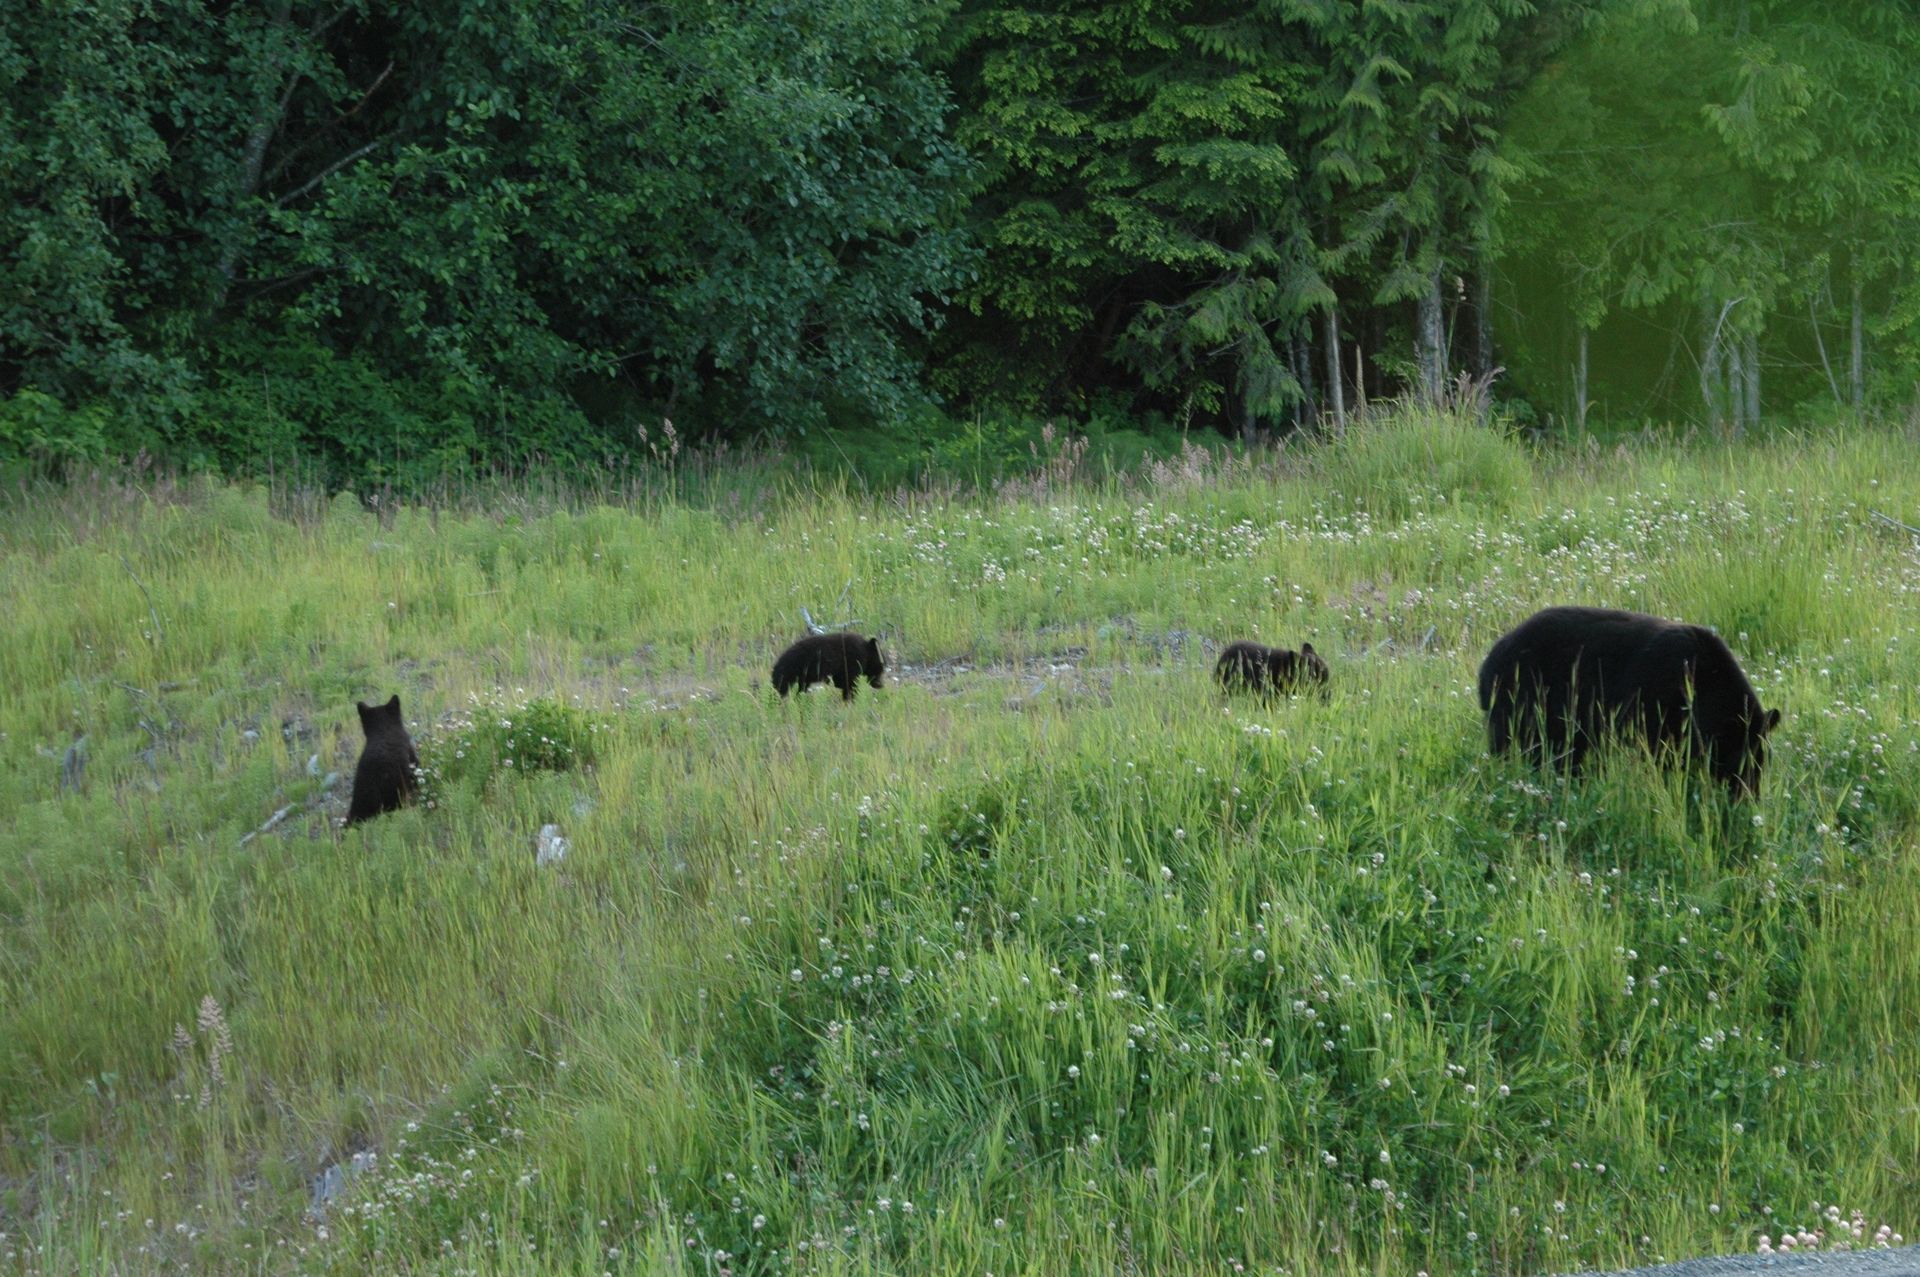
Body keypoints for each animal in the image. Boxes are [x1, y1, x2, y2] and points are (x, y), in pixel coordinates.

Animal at [1477, 605, 1780, 797]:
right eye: (1741, 763)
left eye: (1762, 763)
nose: (1749, 797)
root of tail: (1489, 662)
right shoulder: (1654, 707)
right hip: (1522, 700)